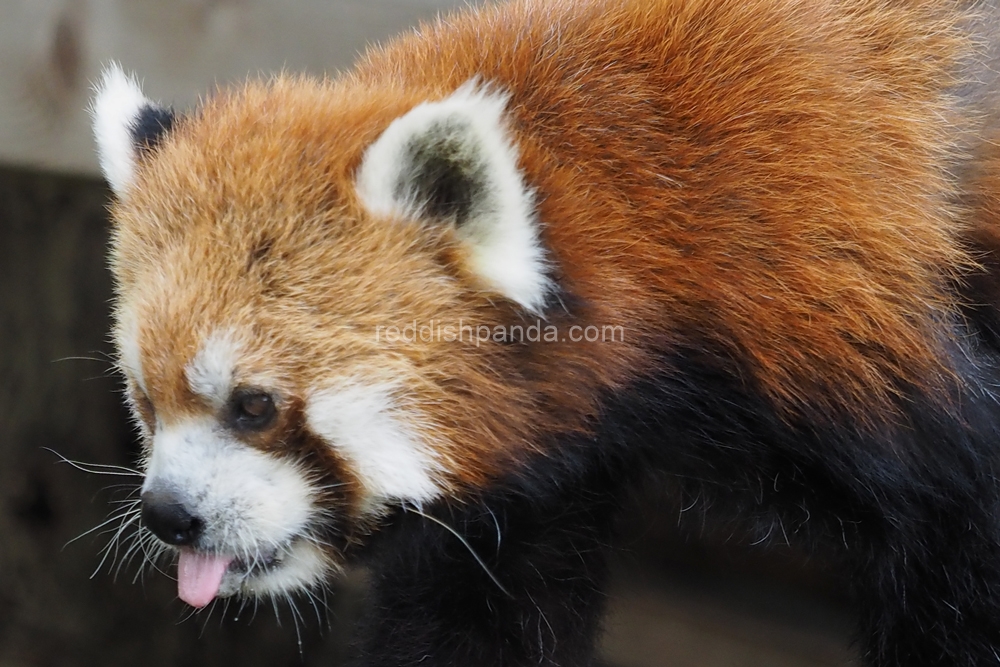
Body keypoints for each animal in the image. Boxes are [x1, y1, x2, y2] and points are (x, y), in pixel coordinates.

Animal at [90, 0, 1000, 664]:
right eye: (144, 398)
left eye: (254, 405)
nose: (170, 515)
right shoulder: (531, 477)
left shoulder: (848, 319)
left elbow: (962, 549)